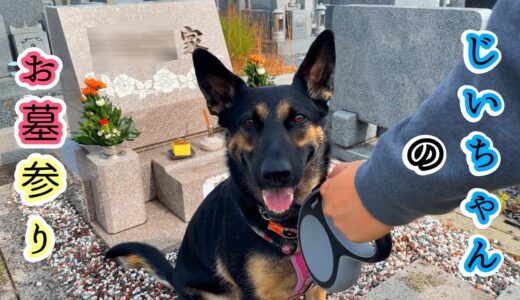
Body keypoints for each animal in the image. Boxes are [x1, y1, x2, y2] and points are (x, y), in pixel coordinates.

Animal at [105, 29, 338, 298]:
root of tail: (175, 277)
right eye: (248, 122)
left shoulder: (317, 287)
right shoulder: (253, 293)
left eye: (299, 118)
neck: (288, 228)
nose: (276, 174)